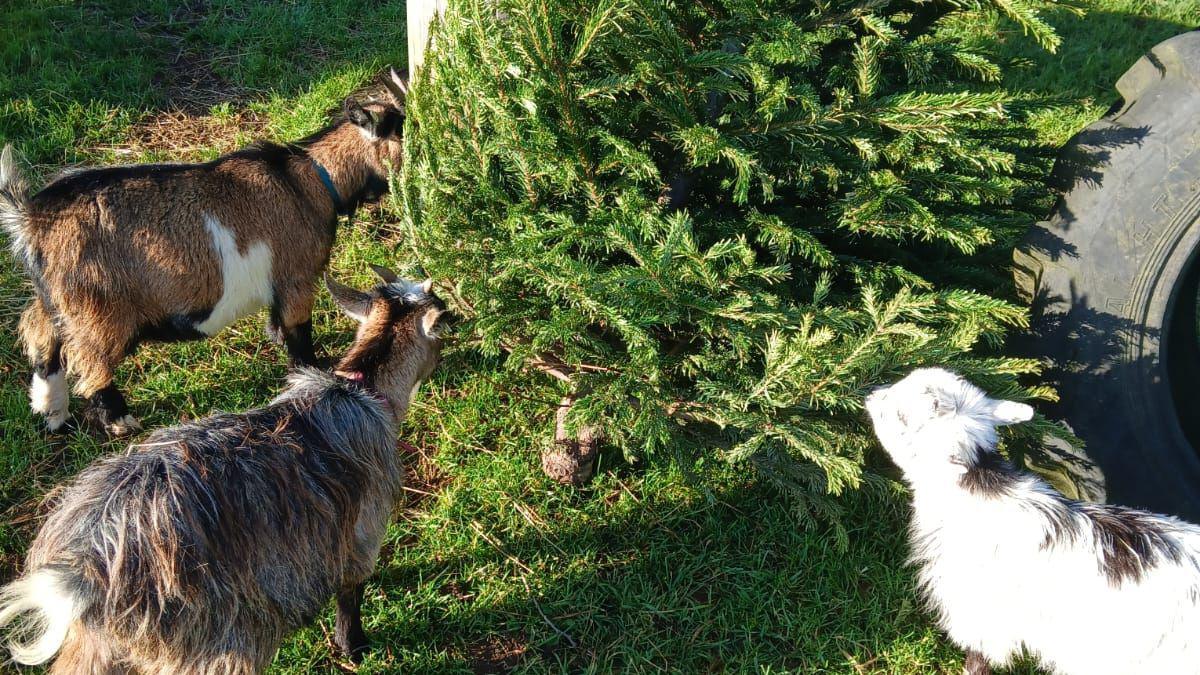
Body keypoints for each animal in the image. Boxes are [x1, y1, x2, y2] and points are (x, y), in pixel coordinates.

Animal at [0, 70, 410, 432]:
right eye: (405, 130)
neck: (310, 180)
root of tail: (31, 218)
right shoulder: (295, 278)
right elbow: (298, 333)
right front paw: (312, 373)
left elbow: (278, 324)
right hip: (95, 308)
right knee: (88, 360)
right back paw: (118, 419)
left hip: (57, 298)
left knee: (41, 336)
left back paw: (52, 413)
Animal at [0, 265, 448, 667]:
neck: (361, 388)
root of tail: (85, 572)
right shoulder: (362, 530)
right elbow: (351, 593)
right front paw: (354, 647)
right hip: (215, 640)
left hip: (99, 644)